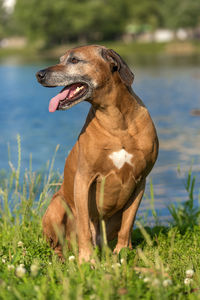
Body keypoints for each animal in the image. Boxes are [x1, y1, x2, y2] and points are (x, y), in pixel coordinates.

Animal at [35, 45, 158, 262]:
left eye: (74, 60)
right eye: (60, 59)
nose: (39, 74)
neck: (116, 121)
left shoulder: (140, 181)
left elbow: (128, 223)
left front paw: (123, 252)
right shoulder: (84, 178)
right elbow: (84, 226)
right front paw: (87, 260)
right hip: (57, 205)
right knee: (57, 245)